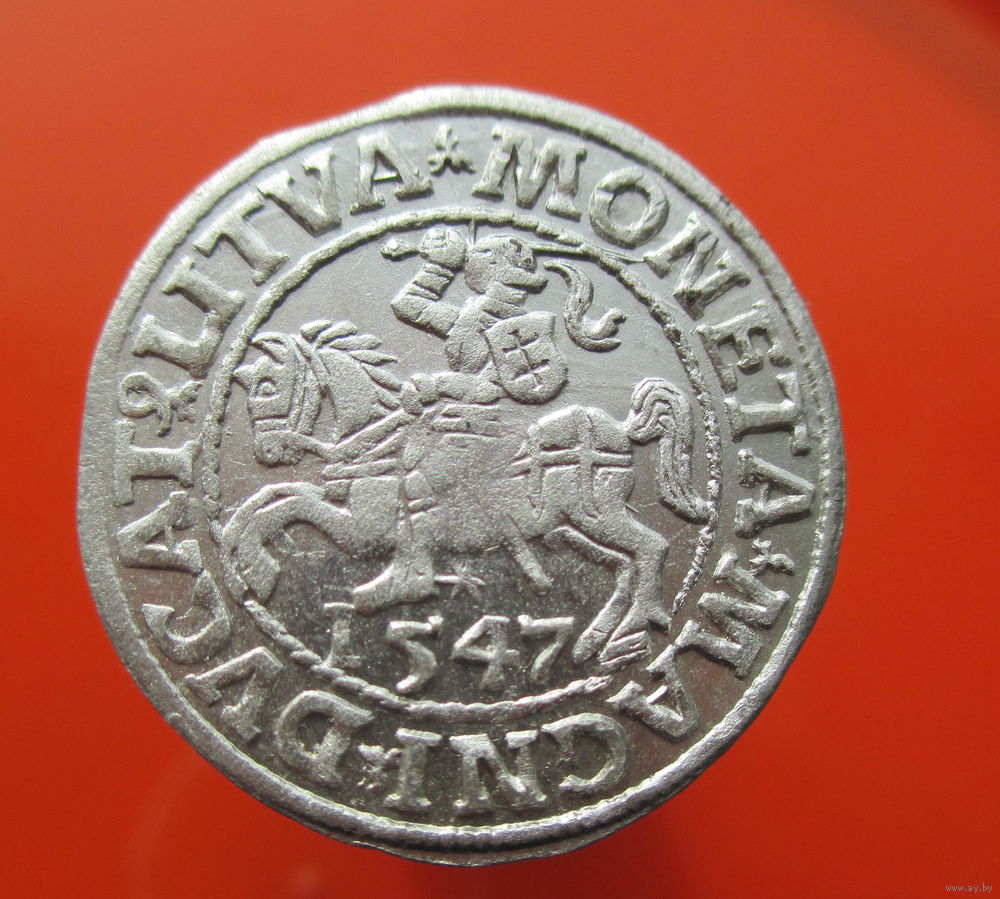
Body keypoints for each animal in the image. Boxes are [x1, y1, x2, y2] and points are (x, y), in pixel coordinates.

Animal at [221, 319, 710, 668]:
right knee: (625, 567)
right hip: (566, 529)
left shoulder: (367, 532)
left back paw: (633, 628)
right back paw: (594, 640)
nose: (267, 450)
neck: (380, 440)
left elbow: (293, 503)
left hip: (596, 513)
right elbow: (279, 496)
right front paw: (241, 553)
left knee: (652, 547)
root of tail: (622, 430)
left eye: (268, 386)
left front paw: (258, 567)